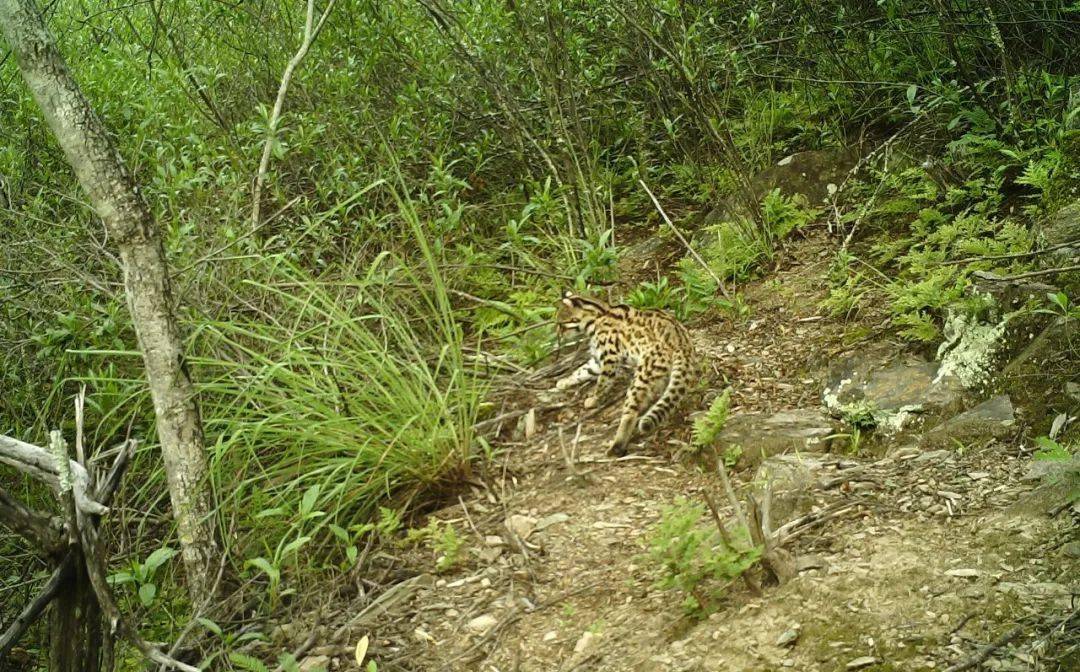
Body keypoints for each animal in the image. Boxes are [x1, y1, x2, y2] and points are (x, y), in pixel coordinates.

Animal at [552, 291, 695, 458]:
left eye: (561, 323)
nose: (557, 335)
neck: (597, 316)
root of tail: (681, 342)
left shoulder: (609, 359)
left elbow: (602, 384)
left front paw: (594, 400)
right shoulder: (597, 361)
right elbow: (583, 370)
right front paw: (565, 381)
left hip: (643, 373)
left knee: (630, 413)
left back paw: (616, 446)